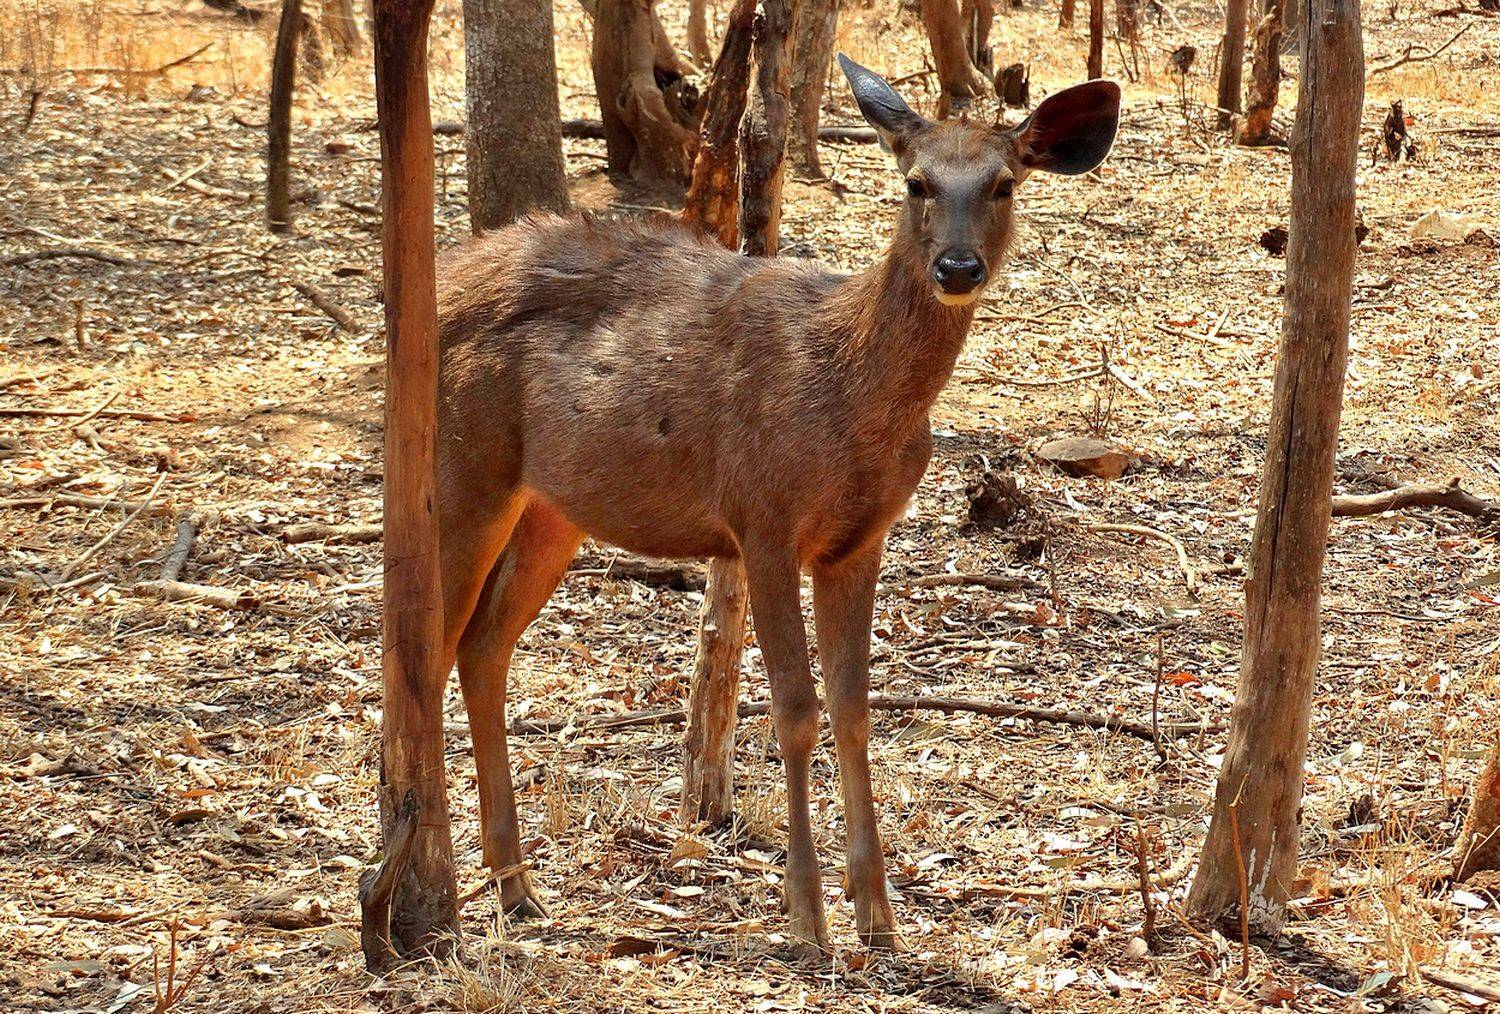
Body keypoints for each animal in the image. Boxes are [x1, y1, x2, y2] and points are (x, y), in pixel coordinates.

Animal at [431, 56, 1120, 954]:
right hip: (464, 465)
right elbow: (794, 708)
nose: (958, 268)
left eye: (1004, 183)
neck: (852, 394)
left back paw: (515, 886)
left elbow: (855, 707)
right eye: (917, 182)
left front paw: (878, 915)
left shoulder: (859, 540)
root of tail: (438, 287)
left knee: (481, 645)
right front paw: (807, 914)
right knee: (424, 642)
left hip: (555, 505)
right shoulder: (761, 518)